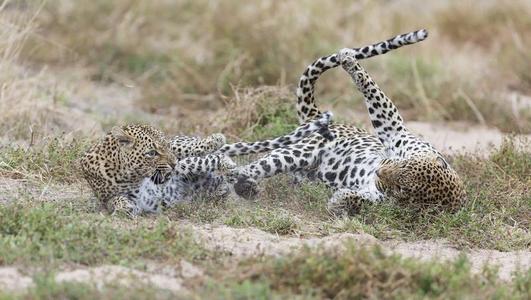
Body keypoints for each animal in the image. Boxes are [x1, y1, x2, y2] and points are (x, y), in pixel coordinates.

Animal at [223, 28, 466, 213]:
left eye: (402, 189)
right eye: (403, 164)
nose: (379, 171)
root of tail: (316, 117)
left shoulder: (382, 200)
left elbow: (361, 201)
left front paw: (339, 200)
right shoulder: (394, 131)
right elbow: (372, 89)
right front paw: (349, 60)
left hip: (298, 157)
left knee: (246, 169)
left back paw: (243, 185)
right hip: (300, 151)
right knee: (256, 165)